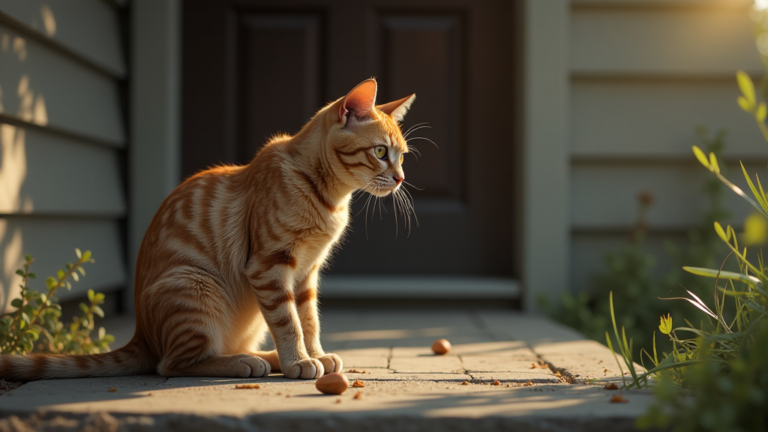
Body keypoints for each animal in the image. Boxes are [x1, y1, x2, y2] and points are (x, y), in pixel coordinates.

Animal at [1, 79, 414, 380]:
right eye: (380, 152)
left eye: (402, 156)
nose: (400, 178)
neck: (327, 198)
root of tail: (141, 335)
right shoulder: (270, 267)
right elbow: (289, 322)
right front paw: (299, 361)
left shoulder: (306, 273)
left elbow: (309, 320)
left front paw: (314, 355)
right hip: (195, 286)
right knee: (171, 364)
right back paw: (249, 363)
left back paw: (265, 356)